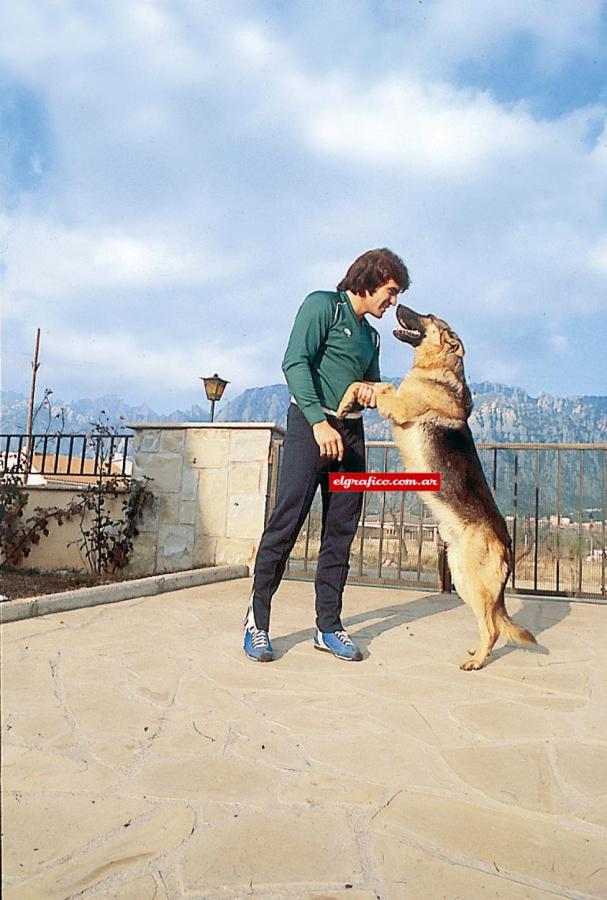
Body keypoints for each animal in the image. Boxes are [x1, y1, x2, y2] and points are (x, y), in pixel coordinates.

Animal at [338, 308, 536, 668]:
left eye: (427, 316)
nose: (398, 306)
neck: (436, 370)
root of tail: (507, 542)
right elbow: (372, 383)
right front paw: (347, 401)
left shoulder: (400, 405)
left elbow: (374, 385)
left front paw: (349, 398)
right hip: (463, 580)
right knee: (489, 623)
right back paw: (475, 651)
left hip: (475, 582)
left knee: (492, 628)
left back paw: (476, 662)